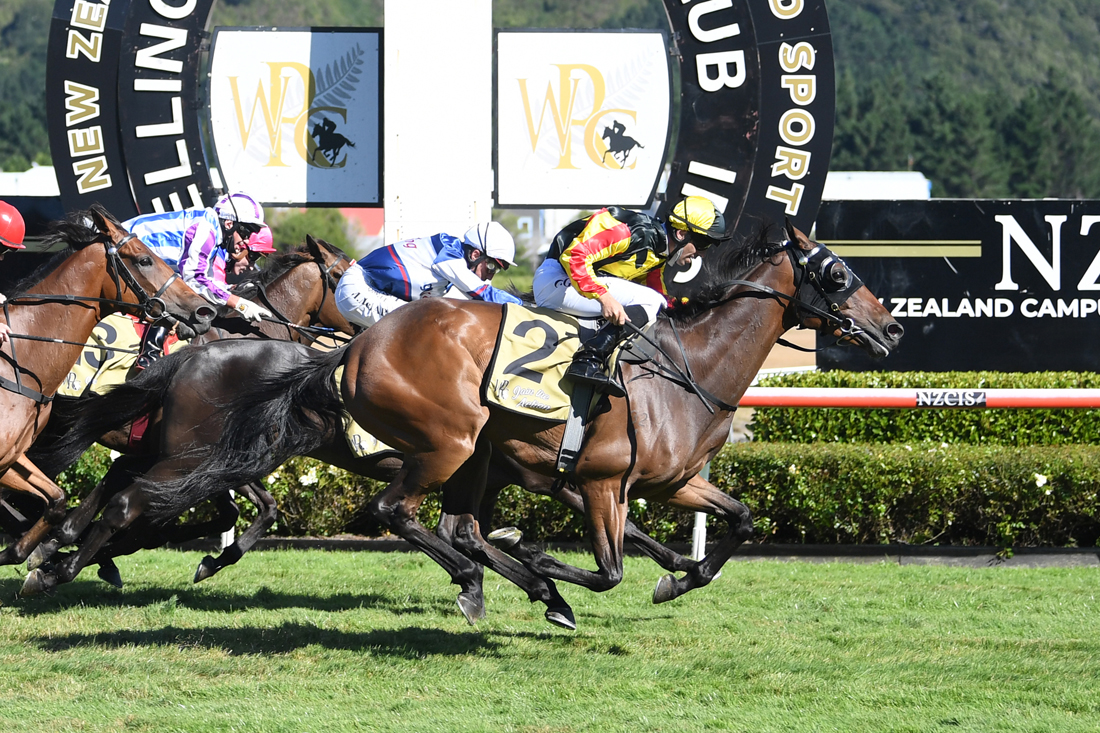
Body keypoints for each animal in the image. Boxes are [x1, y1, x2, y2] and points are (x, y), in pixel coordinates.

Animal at [25, 220, 902, 625]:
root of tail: (353, 351)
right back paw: (63, 561)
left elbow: (736, 522)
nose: (890, 327)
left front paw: (677, 574)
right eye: (836, 272)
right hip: (429, 444)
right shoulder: (596, 481)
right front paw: (547, 569)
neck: (687, 370)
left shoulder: (674, 481)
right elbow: (605, 564)